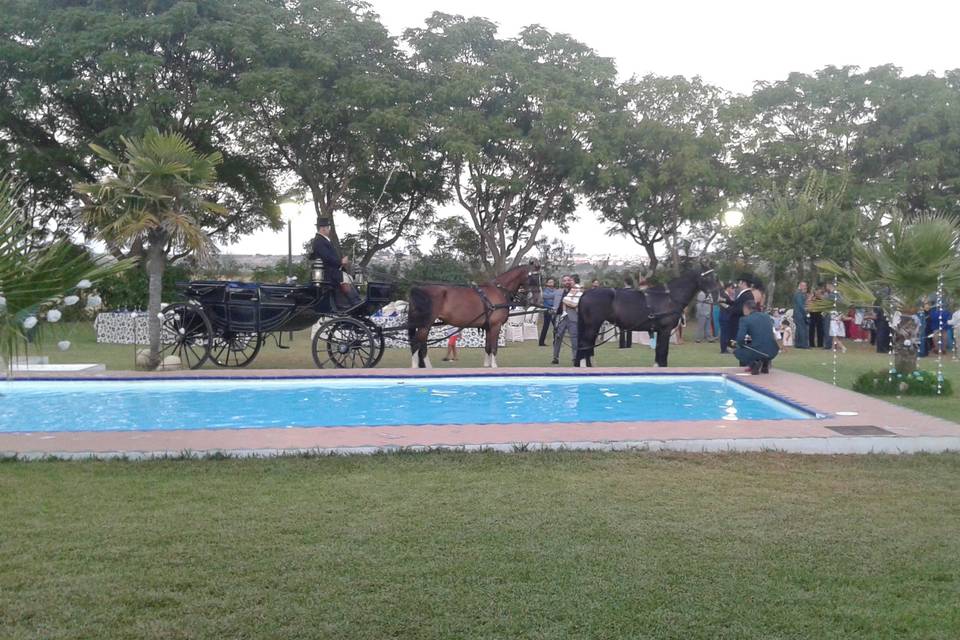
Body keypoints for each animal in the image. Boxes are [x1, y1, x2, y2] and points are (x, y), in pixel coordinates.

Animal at [404, 262, 540, 368]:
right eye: (534, 277)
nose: (538, 297)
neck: (499, 291)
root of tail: (419, 289)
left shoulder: (488, 327)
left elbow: (488, 347)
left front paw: (487, 365)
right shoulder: (495, 326)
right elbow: (494, 347)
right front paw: (494, 365)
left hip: (424, 324)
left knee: (421, 344)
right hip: (426, 324)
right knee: (416, 343)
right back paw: (416, 367)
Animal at [576, 264, 720, 364]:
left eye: (715, 276)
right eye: (707, 277)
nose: (717, 295)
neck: (670, 297)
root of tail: (586, 292)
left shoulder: (660, 331)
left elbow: (660, 353)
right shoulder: (665, 330)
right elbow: (662, 353)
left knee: (588, 348)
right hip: (592, 326)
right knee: (584, 346)